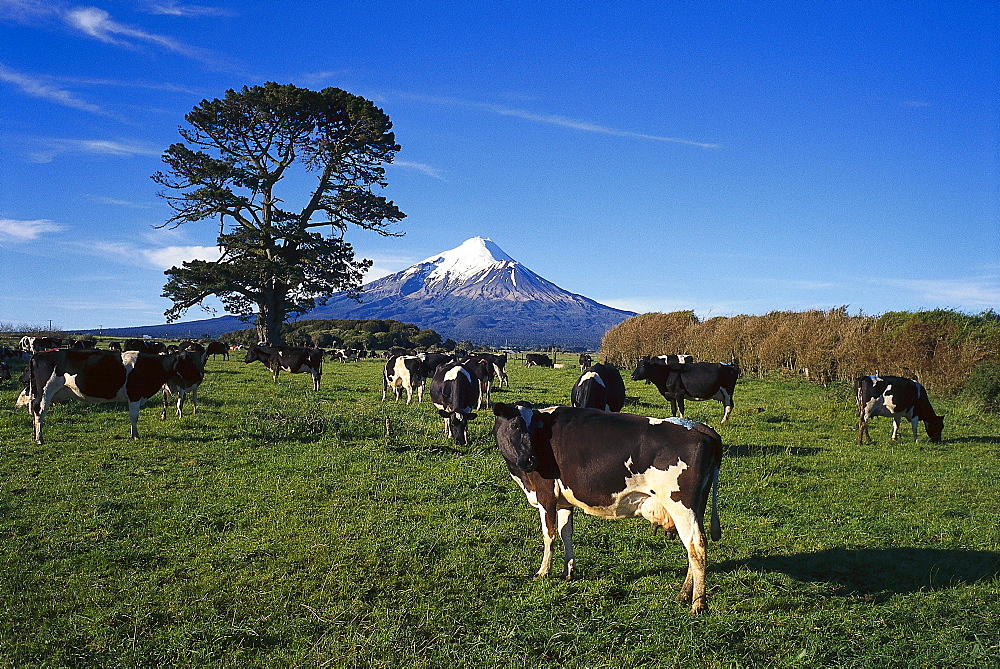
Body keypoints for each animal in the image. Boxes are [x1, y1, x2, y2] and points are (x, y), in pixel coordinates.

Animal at [16, 350, 203, 444]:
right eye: (189, 362)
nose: (200, 375)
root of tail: (38, 354)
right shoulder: (135, 395)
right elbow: (134, 416)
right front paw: (135, 435)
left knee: (35, 413)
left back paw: (35, 435)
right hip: (45, 392)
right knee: (39, 413)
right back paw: (39, 439)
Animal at [490, 400, 720, 612]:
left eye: (532, 427)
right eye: (515, 426)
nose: (530, 460)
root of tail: (697, 426)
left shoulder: (546, 495)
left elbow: (549, 535)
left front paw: (543, 572)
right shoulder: (564, 500)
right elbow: (566, 533)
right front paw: (568, 571)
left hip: (681, 505)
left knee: (696, 545)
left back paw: (698, 603)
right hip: (697, 507)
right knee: (692, 548)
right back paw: (684, 594)